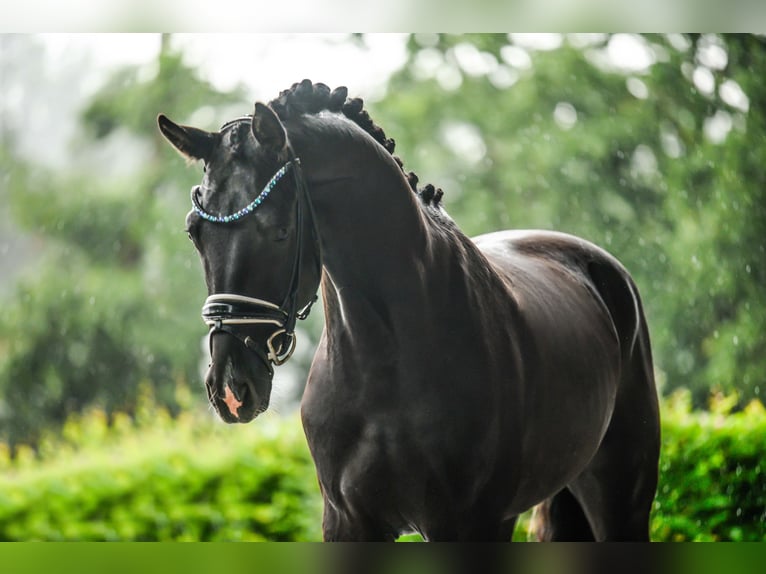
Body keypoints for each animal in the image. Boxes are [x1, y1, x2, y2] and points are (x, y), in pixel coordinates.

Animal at [159, 81, 664, 544]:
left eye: (279, 230)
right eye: (194, 232)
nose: (230, 388)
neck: (385, 356)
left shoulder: (469, 525)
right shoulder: (348, 523)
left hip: (620, 498)